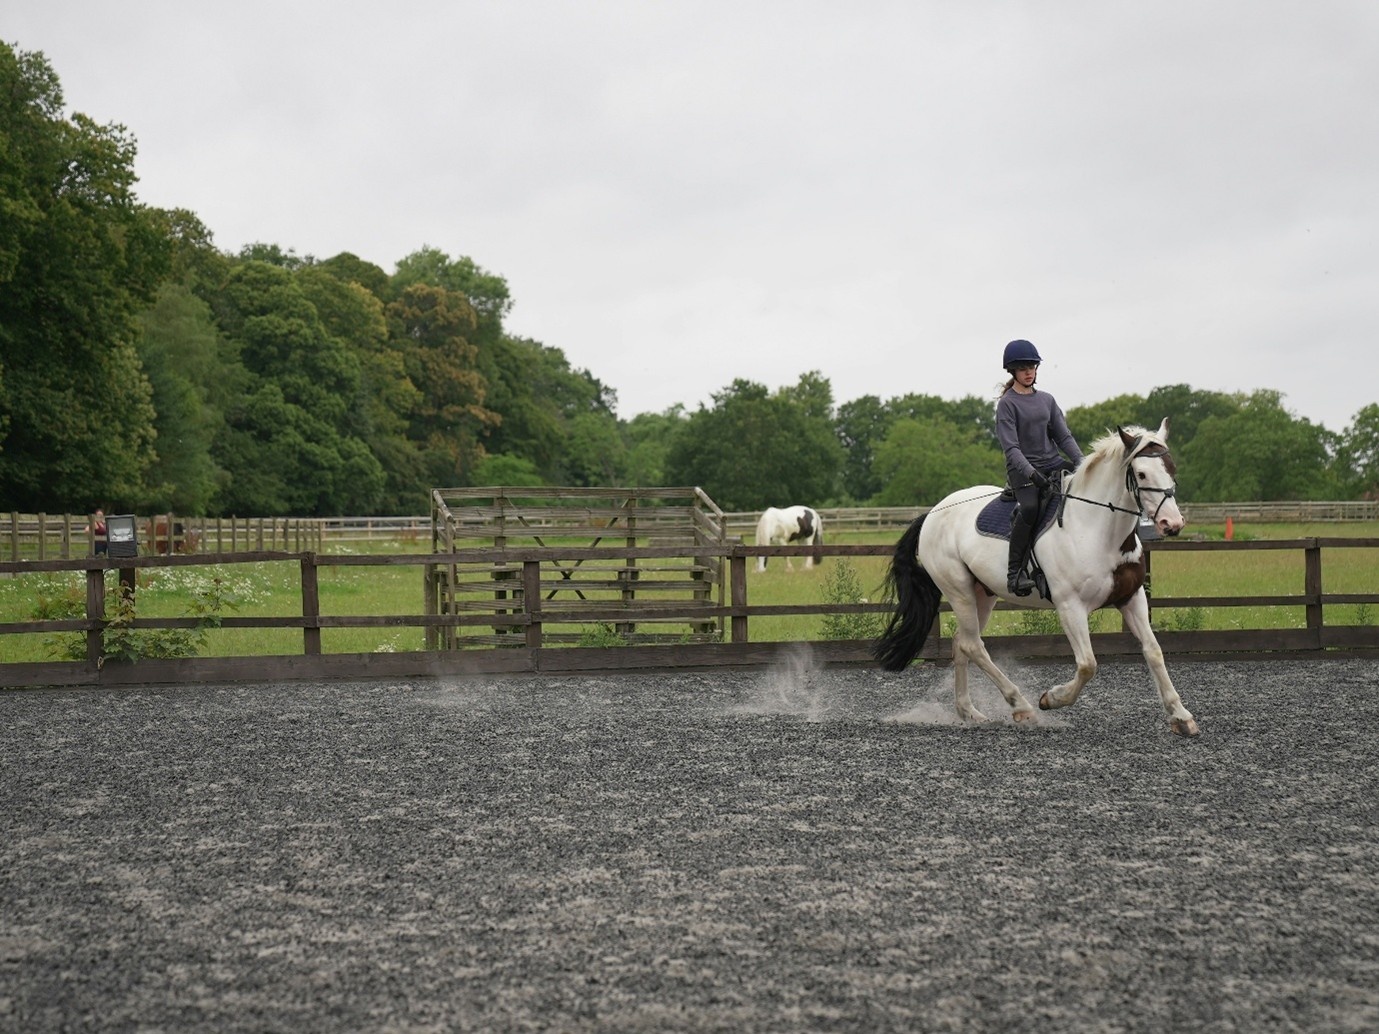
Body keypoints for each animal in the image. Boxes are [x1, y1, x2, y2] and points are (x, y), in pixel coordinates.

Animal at [873, 419, 1199, 737]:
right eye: (1141, 474)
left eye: (1171, 469)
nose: (1172, 523)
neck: (1096, 529)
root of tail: (932, 513)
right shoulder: (1070, 607)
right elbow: (1087, 665)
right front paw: (1051, 699)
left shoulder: (1132, 598)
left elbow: (1154, 652)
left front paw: (1181, 716)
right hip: (958, 590)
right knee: (973, 645)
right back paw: (1022, 706)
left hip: (982, 593)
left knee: (962, 642)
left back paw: (969, 712)